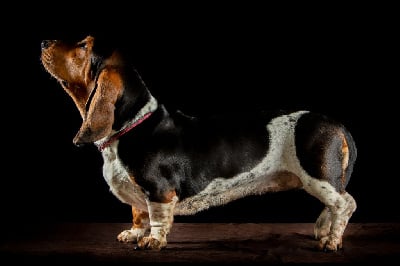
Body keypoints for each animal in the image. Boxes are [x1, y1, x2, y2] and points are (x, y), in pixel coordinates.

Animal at [42, 35, 358, 251]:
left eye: (83, 46)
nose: (45, 41)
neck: (133, 124)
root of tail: (337, 124)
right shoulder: (140, 197)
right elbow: (138, 214)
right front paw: (134, 233)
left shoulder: (159, 191)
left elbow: (156, 218)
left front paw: (152, 241)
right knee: (333, 206)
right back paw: (324, 232)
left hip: (319, 177)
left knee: (345, 204)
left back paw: (332, 241)